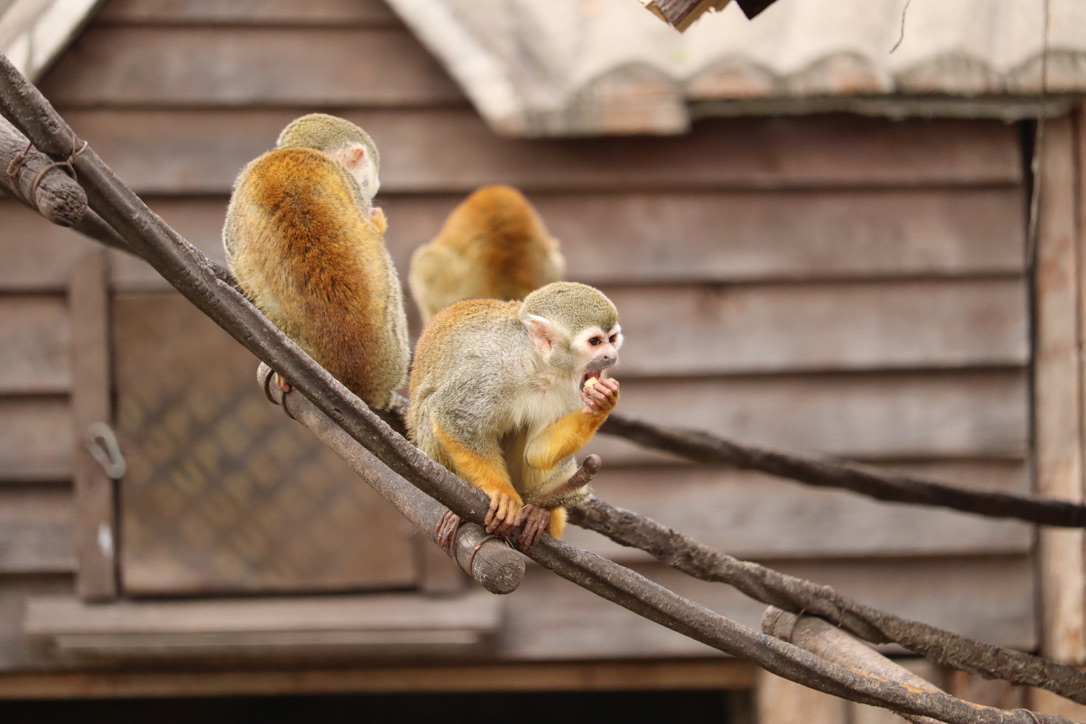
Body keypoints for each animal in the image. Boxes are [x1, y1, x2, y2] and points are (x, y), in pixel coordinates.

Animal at [407, 281, 622, 549]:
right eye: (595, 341)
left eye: (612, 339)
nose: (610, 355)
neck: (537, 364)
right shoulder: (493, 369)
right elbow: (451, 414)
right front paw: (502, 493)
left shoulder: (568, 385)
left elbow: (536, 452)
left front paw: (602, 403)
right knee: (429, 409)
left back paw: (540, 512)